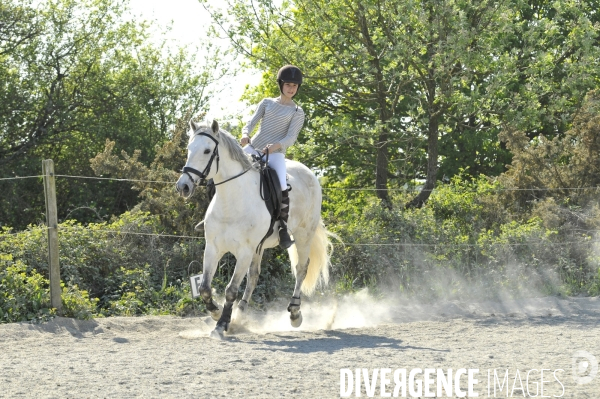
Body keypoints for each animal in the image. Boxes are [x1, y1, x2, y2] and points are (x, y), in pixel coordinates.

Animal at [176, 120, 336, 340]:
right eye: (188, 149)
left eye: (207, 151)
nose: (182, 187)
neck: (231, 201)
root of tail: (309, 173)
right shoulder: (213, 248)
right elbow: (204, 288)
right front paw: (217, 313)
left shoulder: (244, 251)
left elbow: (231, 289)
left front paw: (221, 325)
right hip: (259, 248)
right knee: (254, 276)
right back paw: (240, 315)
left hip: (303, 236)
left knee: (301, 269)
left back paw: (295, 314)